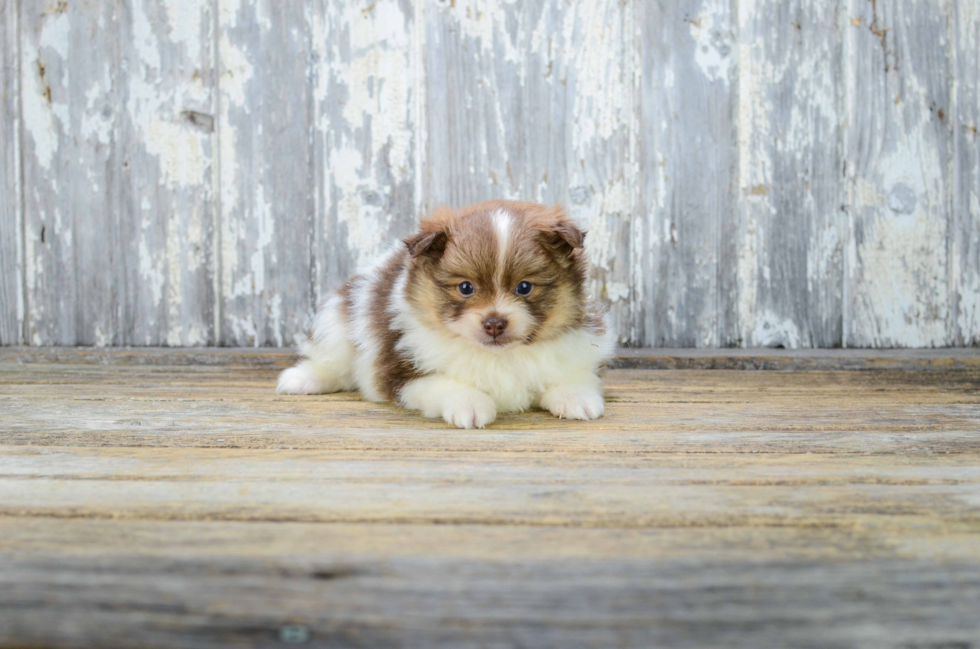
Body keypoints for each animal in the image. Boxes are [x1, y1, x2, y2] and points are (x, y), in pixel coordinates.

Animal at [276, 200, 612, 428]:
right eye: (465, 287)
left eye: (525, 287)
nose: (494, 323)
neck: (497, 356)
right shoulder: (405, 373)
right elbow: (443, 383)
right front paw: (470, 404)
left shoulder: (578, 349)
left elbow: (574, 375)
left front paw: (576, 398)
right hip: (337, 322)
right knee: (332, 363)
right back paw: (302, 379)